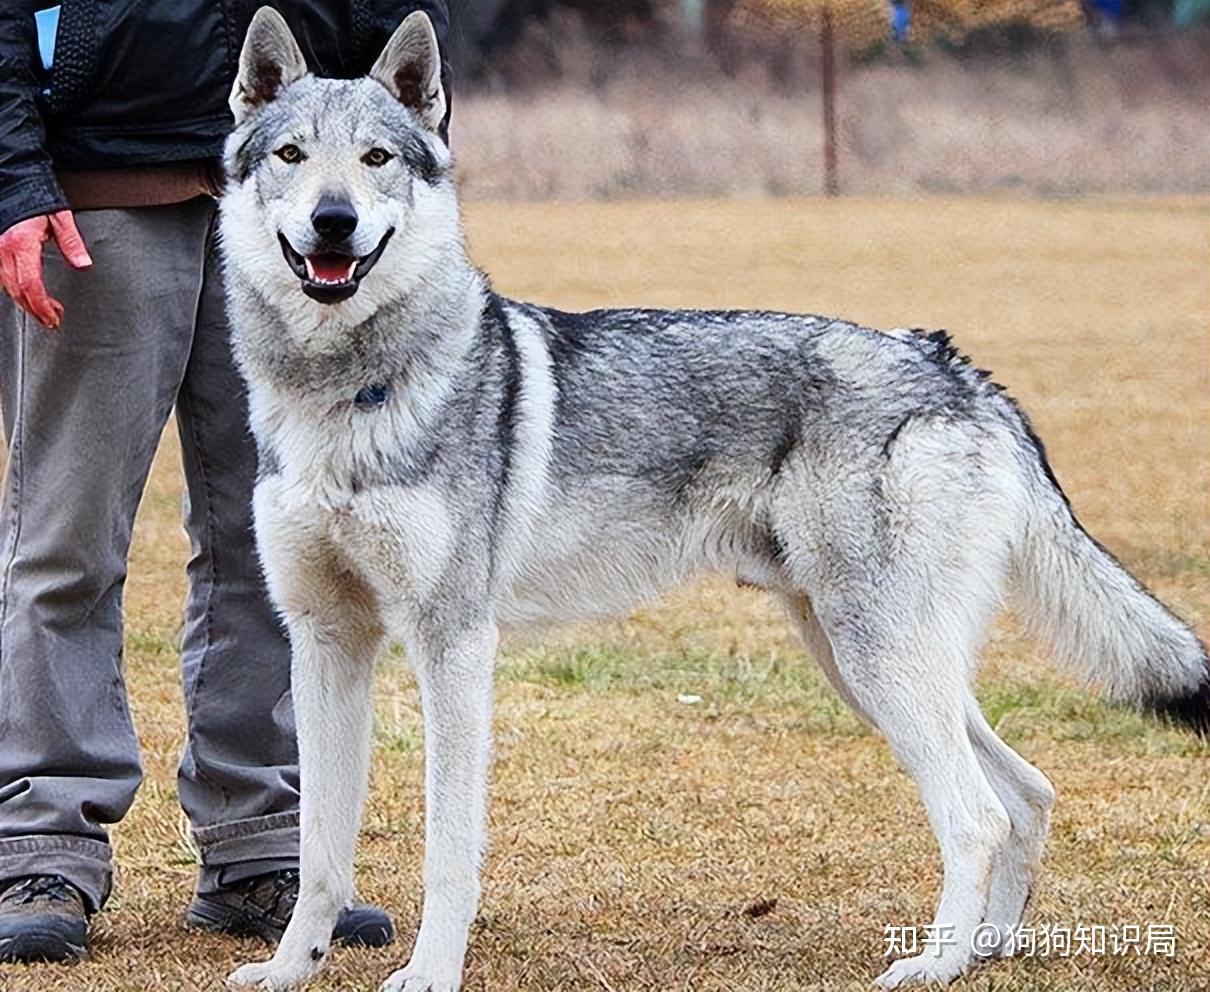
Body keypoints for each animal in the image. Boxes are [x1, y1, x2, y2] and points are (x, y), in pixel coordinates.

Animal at [222, 9, 1205, 992]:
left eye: (378, 158)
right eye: (293, 155)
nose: (334, 221)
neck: (344, 397)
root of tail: (953, 366)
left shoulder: (453, 643)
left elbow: (448, 849)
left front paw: (429, 973)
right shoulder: (327, 642)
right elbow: (319, 846)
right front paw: (289, 968)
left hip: (879, 662)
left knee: (979, 814)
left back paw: (930, 966)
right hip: (872, 665)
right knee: (1029, 791)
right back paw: (984, 951)